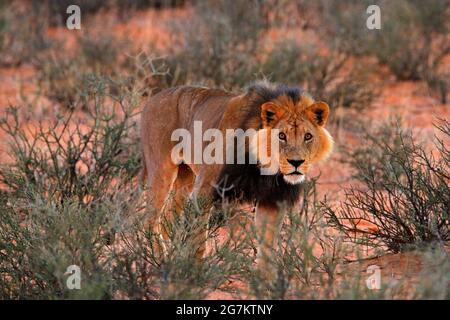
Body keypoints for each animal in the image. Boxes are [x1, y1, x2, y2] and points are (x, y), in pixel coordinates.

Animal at [141, 81, 334, 272]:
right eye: (281, 136)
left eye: (307, 136)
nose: (296, 162)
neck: (263, 166)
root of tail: (153, 98)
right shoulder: (204, 190)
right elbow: (198, 239)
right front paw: (194, 271)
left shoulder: (271, 200)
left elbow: (267, 251)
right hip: (162, 171)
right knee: (151, 220)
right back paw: (160, 260)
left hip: (186, 177)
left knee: (167, 219)